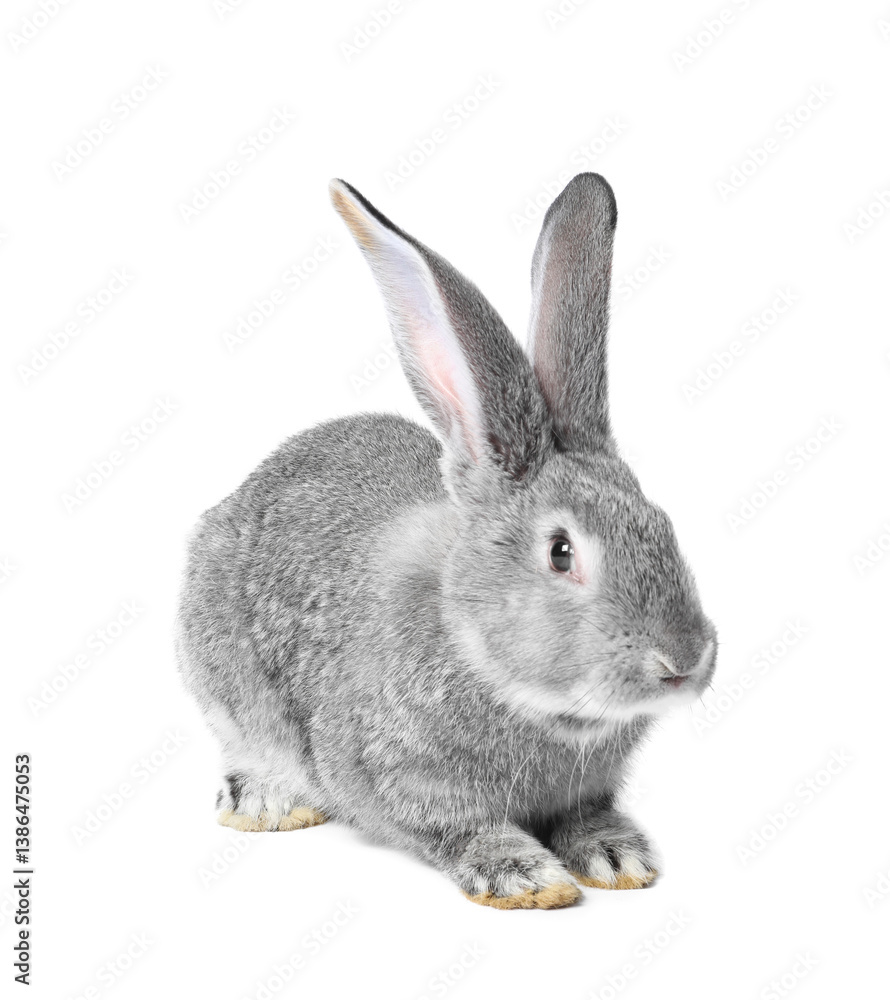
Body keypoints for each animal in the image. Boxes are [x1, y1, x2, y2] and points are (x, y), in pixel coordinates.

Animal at [176, 172, 717, 910]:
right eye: (561, 552)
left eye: (663, 524)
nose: (684, 659)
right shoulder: (391, 775)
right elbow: (454, 829)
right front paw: (525, 878)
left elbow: (589, 816)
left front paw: (616, 856)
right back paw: (263, 801)